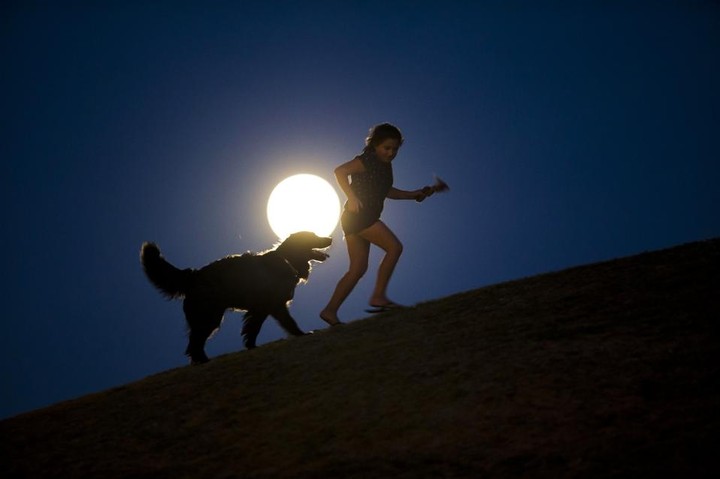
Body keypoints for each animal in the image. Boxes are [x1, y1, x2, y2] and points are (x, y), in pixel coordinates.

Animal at [141, 232, 332, 364]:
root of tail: (193, 276)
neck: (287, 259)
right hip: (209, 317)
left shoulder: (260, 310)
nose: (330, 238)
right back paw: (202, 360)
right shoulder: (276, 306)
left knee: (194, 341)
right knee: (195, 341)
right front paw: (301, 334)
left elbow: (252, 329)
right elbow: (289, 322)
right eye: (313, 236)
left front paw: (251, 346)